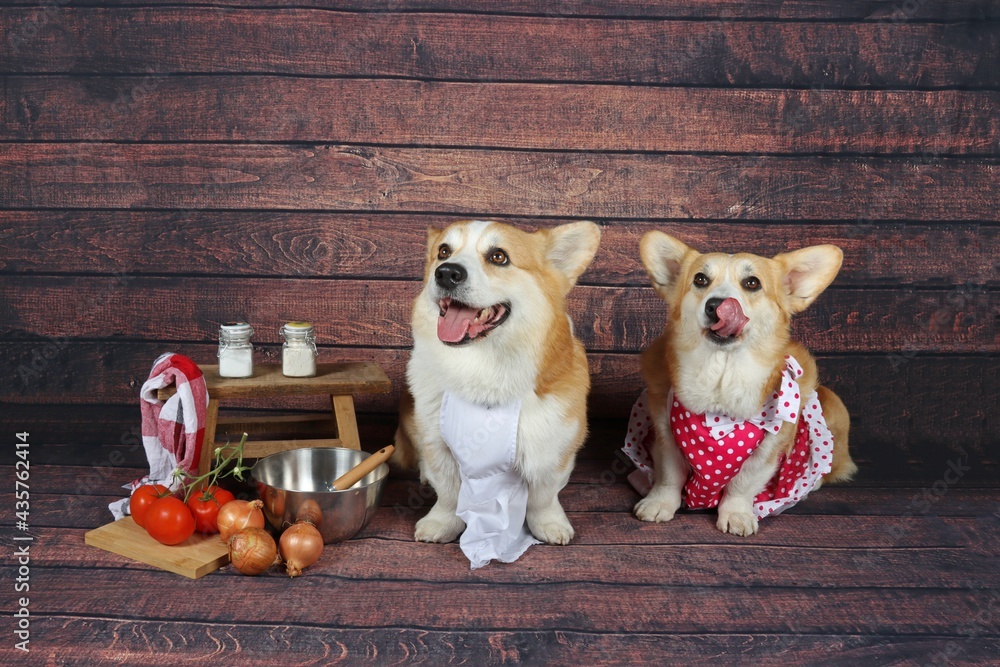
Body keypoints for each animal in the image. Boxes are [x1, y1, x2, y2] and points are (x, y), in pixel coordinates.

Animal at [628, 232, 856, 536]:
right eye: (700, 279)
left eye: (752, 283)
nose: (716, 305)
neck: (721, 383)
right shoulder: (665, 433)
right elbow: (670, 474)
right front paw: (658, 503)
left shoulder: (768, 451)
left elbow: (742, 484)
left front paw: (736, 514)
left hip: (833, 409)